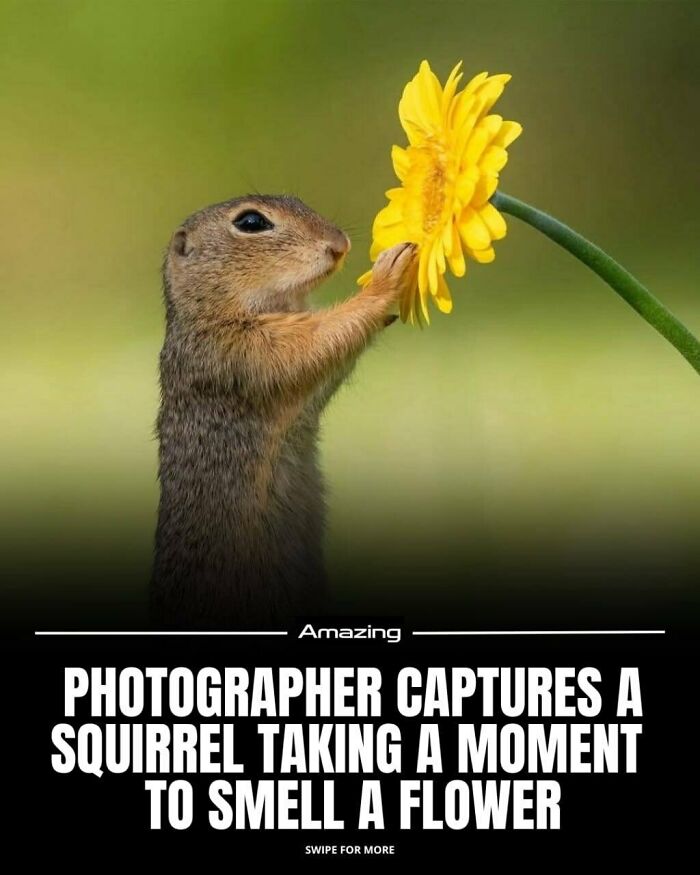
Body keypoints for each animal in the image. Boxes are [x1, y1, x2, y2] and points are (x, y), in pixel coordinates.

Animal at [151, 194, 415, 628]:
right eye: (251, 222)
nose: (339, 244)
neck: (209, 311)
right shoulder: (242, 352)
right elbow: (316, 340)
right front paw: (385, 278)